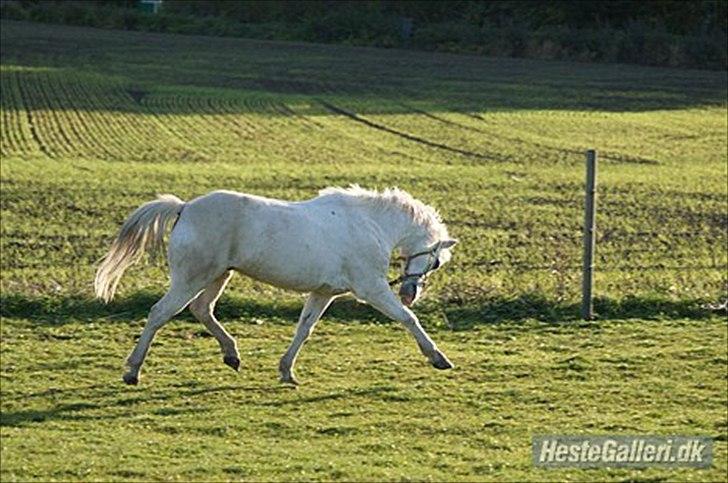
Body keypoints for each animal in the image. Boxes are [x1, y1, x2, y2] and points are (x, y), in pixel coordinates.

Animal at [95, 185, 460, 386]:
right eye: (436, 261)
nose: (410, 293)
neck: (370, 224)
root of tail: (184, 208)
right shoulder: (371, 288)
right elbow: (407, 320)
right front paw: (438, 358)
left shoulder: (323, 292)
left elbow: (304, 330)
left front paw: (286, 372)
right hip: (191, 278)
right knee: (159, 313)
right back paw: (132, 371)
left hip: (218, 275)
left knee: (202, 309)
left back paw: (232, 355)